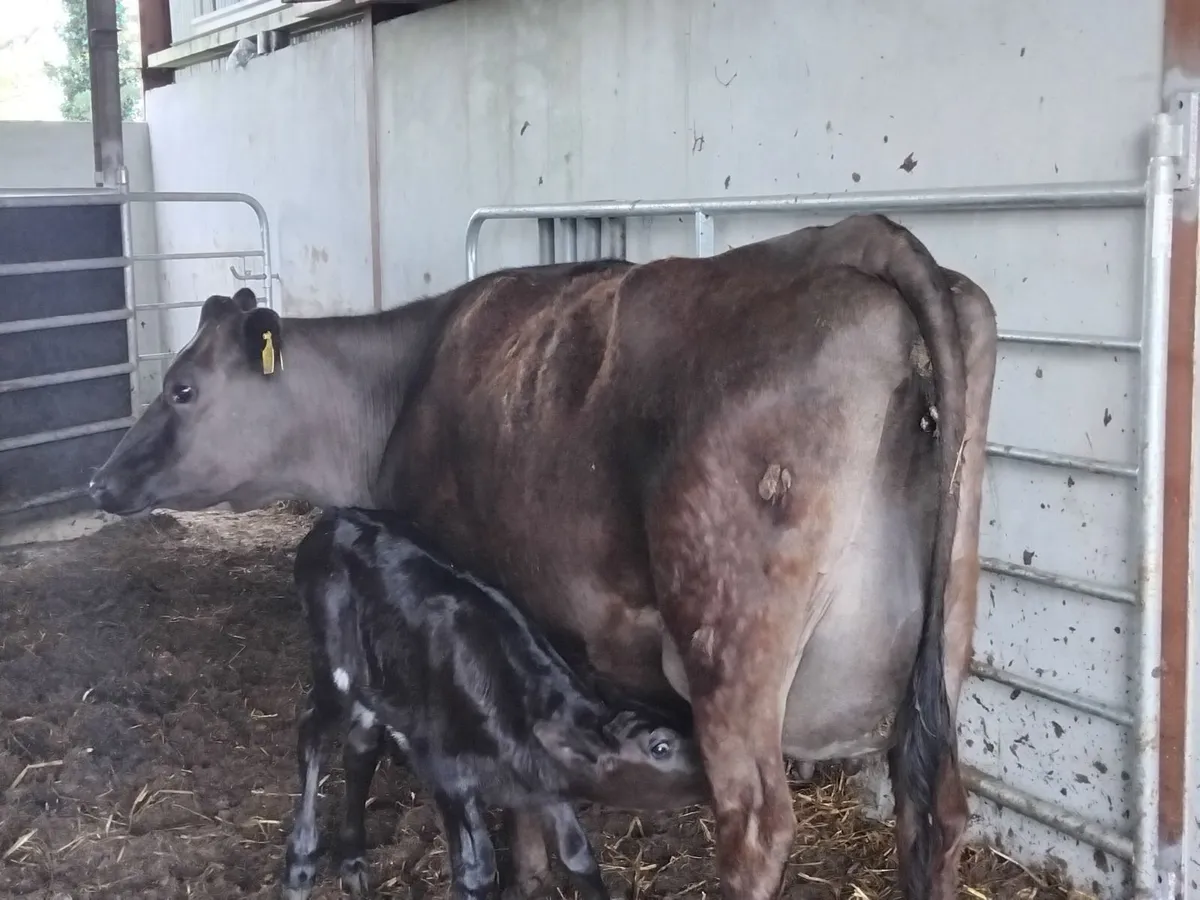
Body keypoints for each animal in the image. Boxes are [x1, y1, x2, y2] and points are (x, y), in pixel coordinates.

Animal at [284, 506, 707, 900]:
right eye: (661, 747)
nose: (708, 769)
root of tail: (335, 517)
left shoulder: (545, 782)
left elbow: (578, 854)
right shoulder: (450, 774)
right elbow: (477, 870)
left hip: (379, 683)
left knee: (359, 747)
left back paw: (353, 860)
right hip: (334, 667)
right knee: (311, 728)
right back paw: (299, 866)